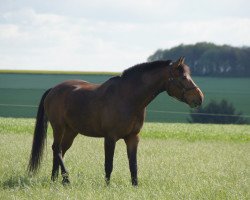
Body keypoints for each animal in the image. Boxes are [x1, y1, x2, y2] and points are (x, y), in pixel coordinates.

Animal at [27, 56, 203, 186]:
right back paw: (66, 179)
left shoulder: (133, 137)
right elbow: (109, 164)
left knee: (60, 151)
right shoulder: (110, 138)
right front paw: (107, 186)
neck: (128, 97)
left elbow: (133, 165)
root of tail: (53, 90)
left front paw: (135, 186)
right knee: (56, 149)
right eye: (184, 77)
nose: (199, 98)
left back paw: (56, 180)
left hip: (71, 131)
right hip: (59, 127)